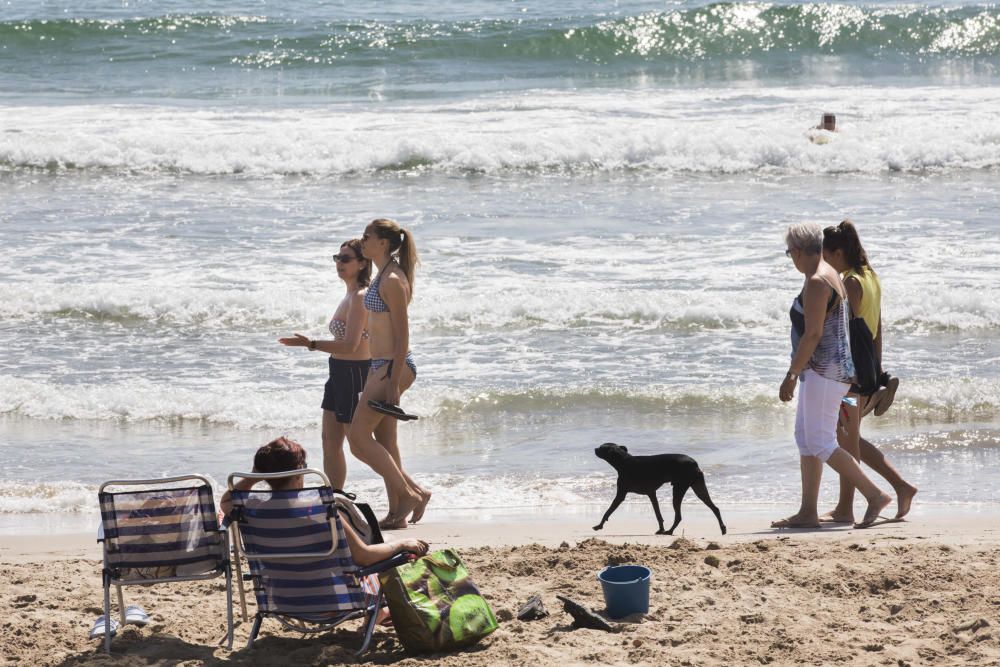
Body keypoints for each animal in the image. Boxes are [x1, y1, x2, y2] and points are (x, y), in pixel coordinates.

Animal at [592, 444, 728, 536]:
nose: (594, 449)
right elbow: (658, 514)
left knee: (679, 516)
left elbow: (608, 511)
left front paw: (599, 525)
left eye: (601, 447)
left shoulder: (621, 493)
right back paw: (722, 528)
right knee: (715, 508)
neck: (624, 461)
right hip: (699, 488)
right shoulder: (651, 494)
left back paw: (670, 531)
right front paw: (661, 528)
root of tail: (694, 463)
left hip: (679, 489)